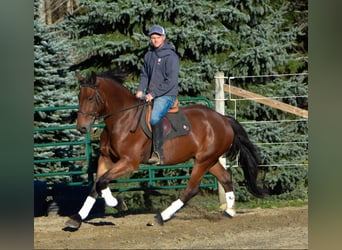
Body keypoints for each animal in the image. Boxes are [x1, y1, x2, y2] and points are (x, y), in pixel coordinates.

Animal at [65, 71, 266, 229]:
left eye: (90, 98)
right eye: (79, 98)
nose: (81, 128)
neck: (122, 119)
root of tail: (224, 120)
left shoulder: (129, 162)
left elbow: (102, 182)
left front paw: (117, 203)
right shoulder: (106, 158)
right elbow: (96, 184)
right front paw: (76, 219)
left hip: (203, 161)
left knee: (191, 189)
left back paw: (161, 217)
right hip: (210, 159)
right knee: (225, 178)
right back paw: (230, 212)